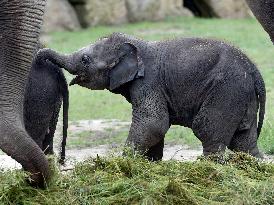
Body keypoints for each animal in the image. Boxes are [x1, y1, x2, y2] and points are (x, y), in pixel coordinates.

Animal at [39, 32, 266, 160]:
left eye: (85, 60)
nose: (40, 57)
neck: (137, 44)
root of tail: (254, 69)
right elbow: (156, 128)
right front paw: (149, 163)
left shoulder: (148, 82)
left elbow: (153, 123)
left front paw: (123, 163)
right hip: (242, 94)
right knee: (243, 141)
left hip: (227, 90)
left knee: (207, 129)